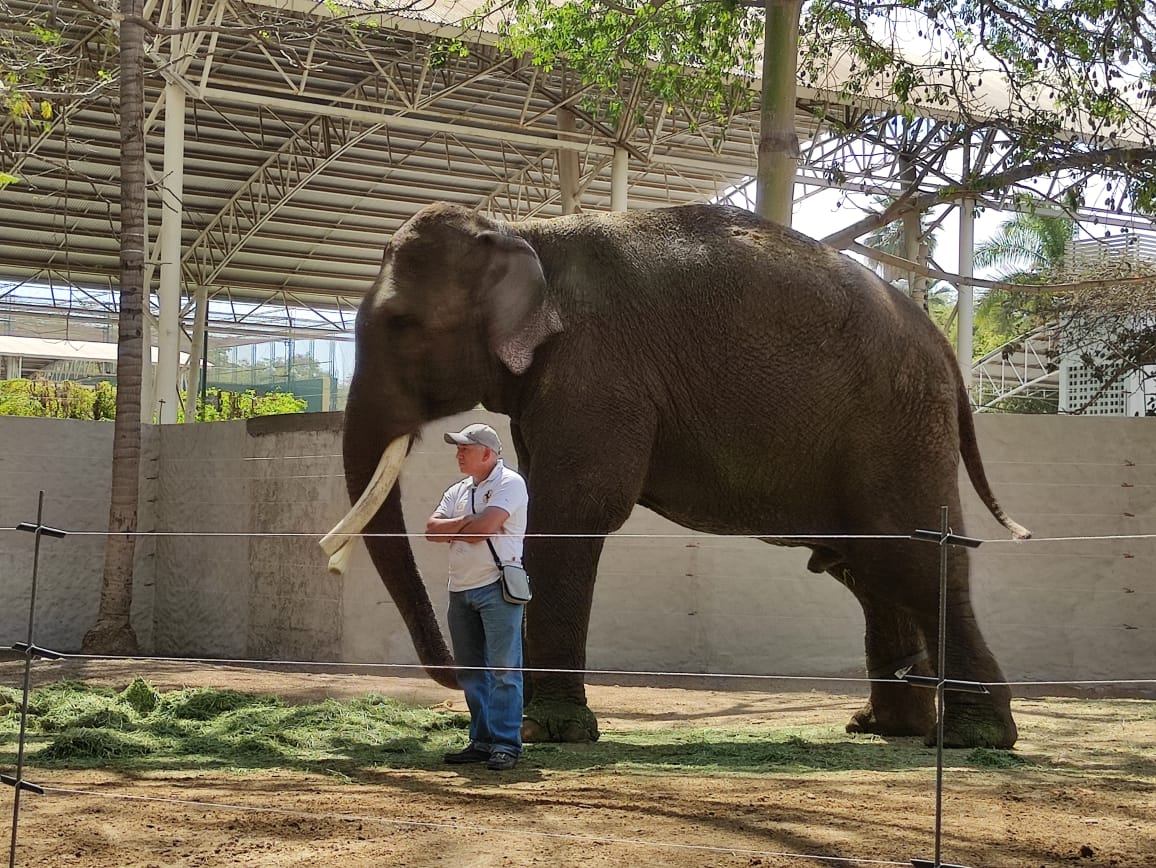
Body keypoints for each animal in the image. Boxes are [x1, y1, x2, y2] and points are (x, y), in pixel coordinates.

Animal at [321, 201, 1031, 750]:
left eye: (401, 324)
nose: (451, 678)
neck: (523, 228)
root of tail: (942, 346)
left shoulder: (598, 368)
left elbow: (576, 512)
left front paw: (547, 731)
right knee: (869, 566)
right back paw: (885, 729)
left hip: (896, 425)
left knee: (911, 556)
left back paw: (973, 739)